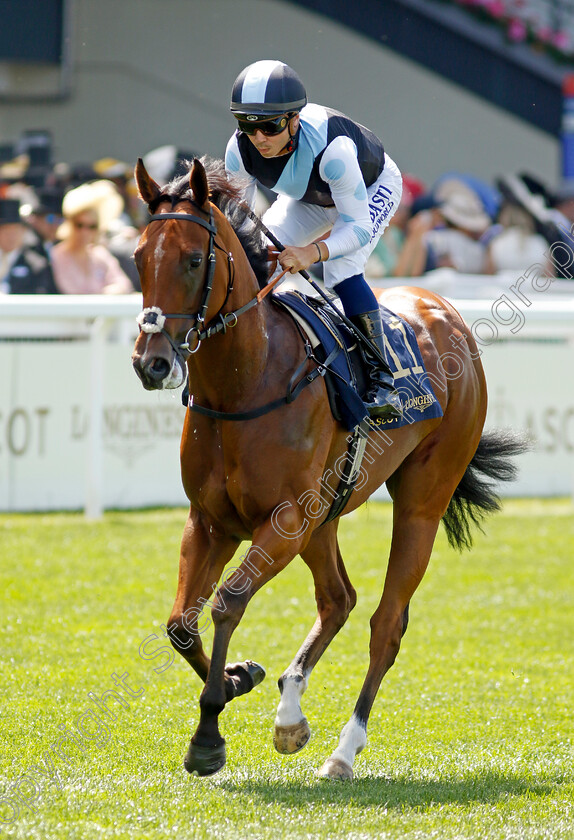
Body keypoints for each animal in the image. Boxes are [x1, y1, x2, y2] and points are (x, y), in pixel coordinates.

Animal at [133, 156, 524, 780]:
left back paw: (344, 749)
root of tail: (444, 309)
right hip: (328, 513)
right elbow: (179, 623)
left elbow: (227, 603)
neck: (247, 380)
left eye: (193, 260)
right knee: (338, 599)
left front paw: (209, 732)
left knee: (386, 623)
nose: (152, 363)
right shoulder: (212, 520)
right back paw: (291, 713)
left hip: (420, 500)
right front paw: (240, 677)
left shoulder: (285, 521)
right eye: (137, 257)